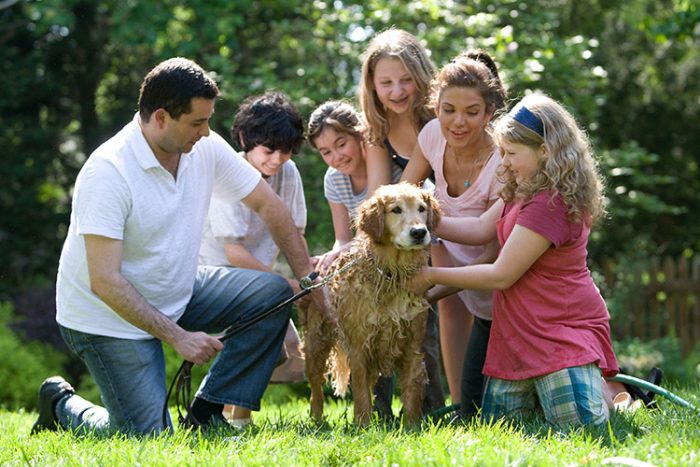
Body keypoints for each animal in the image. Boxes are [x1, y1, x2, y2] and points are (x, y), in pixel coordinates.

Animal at [298, 184, 440, 428]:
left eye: (422, 208)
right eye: (396, 210)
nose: (419, 232)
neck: (391, 274)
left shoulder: (412, 346)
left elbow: (412, 391)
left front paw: (411, 426)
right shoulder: (359, 348)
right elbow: (361, 393)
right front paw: (363, 426)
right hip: (316, 344)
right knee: (315, 390)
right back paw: (317, 421)